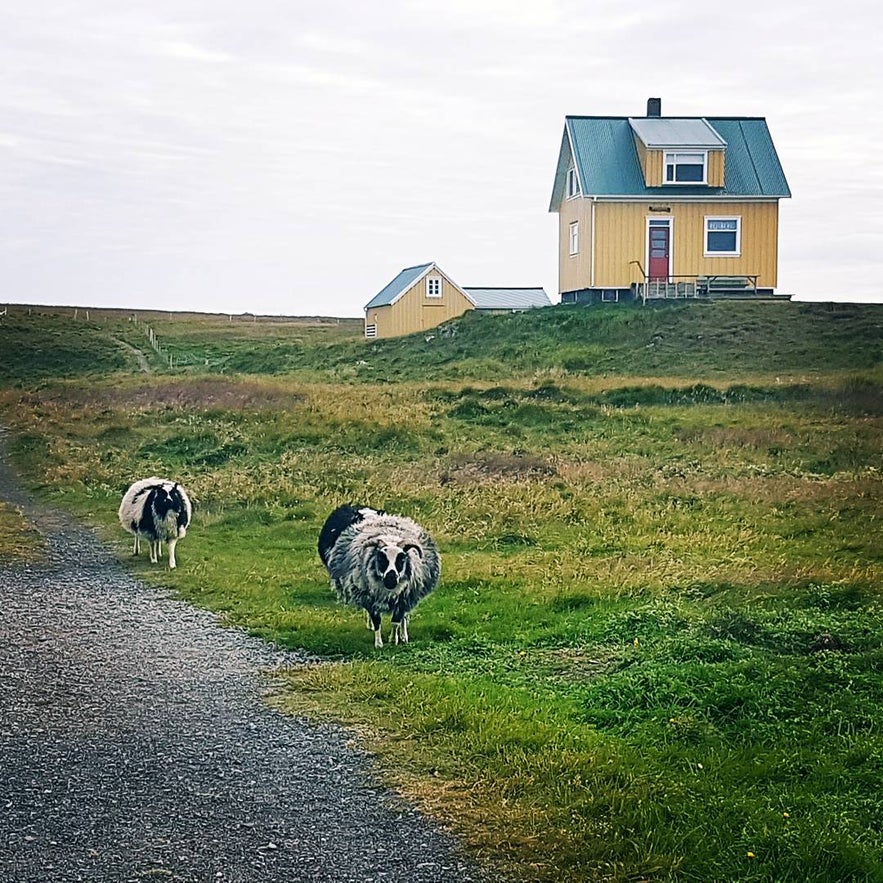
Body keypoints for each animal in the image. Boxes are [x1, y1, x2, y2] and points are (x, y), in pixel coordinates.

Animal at [318, 504, 442, 648]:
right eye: (381, 559)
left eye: (401, 559)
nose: (391, 579)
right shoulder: (368, 597)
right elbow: (376, 620)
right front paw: (379, 643)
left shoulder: (404, 597)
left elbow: (396, 621)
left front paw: (394, 640)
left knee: (404, 616)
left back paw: (404, 636)